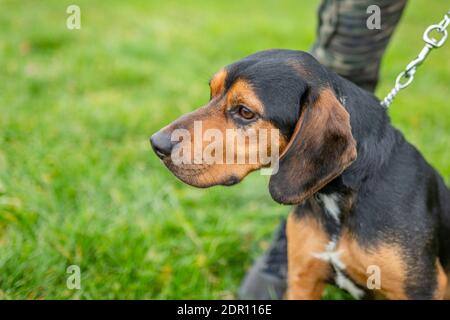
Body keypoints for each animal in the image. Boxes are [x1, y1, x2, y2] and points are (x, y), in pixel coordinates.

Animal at [151, 50, 450, 300]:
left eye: (245, 112)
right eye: (211, 93)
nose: (157, 144)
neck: (337, 200)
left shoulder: (420, 291)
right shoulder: (303, 279)